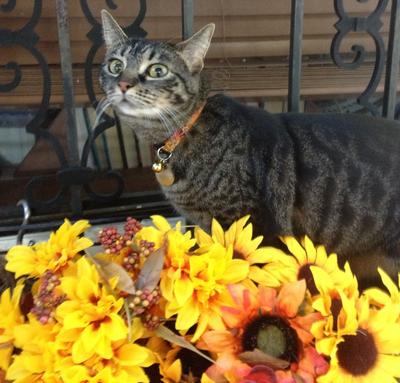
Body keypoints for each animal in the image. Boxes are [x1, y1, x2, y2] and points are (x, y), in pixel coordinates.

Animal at [101, 11, 400, 282]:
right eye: (115, 66)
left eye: (157, 70)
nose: (124, 83)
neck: (180, 136)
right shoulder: (204, 222)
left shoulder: (252, 224)